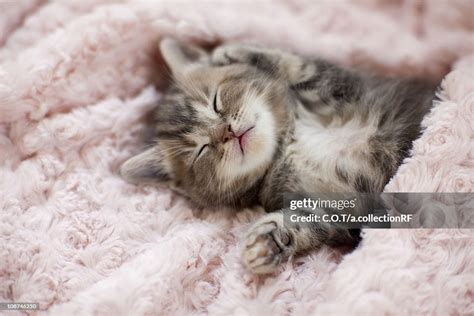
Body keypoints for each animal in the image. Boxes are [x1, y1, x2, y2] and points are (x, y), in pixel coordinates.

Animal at [120, 37, 436, 274]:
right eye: (201, 150)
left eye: (216, 101)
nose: (227, 132)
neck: (288, 142)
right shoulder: (337, 206)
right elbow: (310, 223)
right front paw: (268, 242)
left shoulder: (358, 87)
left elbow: (308, 68)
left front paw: (235, 51)